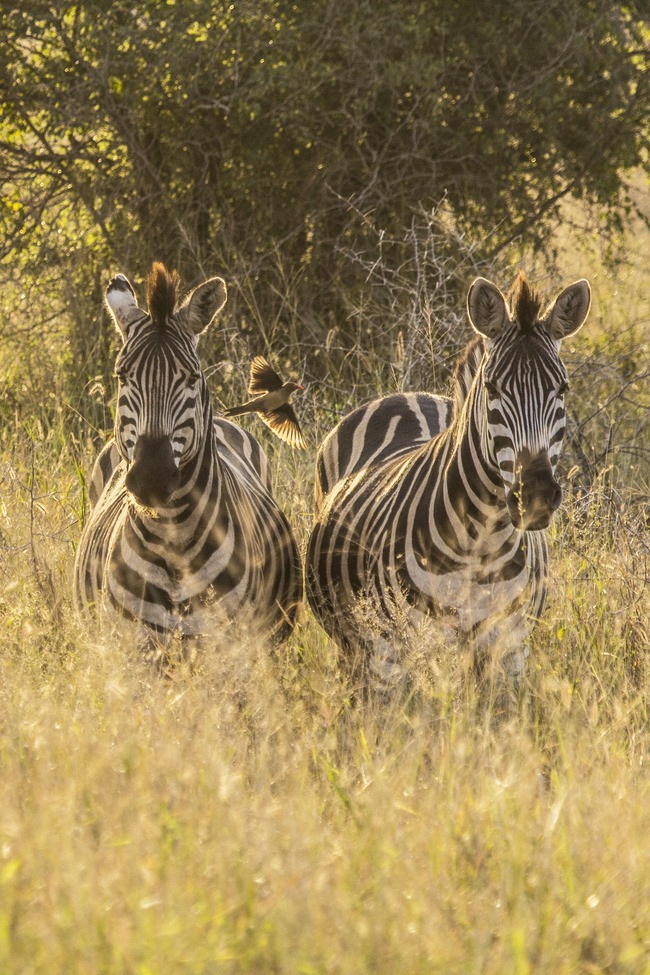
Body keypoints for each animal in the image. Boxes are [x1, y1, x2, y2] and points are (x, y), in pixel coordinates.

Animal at [74, 263, 303, 654]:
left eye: (193, 378)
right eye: (122, 376)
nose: (151, 478)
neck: (173, 538)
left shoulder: (229, 648)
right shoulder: (137, 648)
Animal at [306, 272, 590, 687]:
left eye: (562, 389)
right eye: (492, 388)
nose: (535, 495)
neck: (481, 545)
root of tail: (406, 396)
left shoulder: (508, 648)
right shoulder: (398, 651)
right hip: (363, 647)